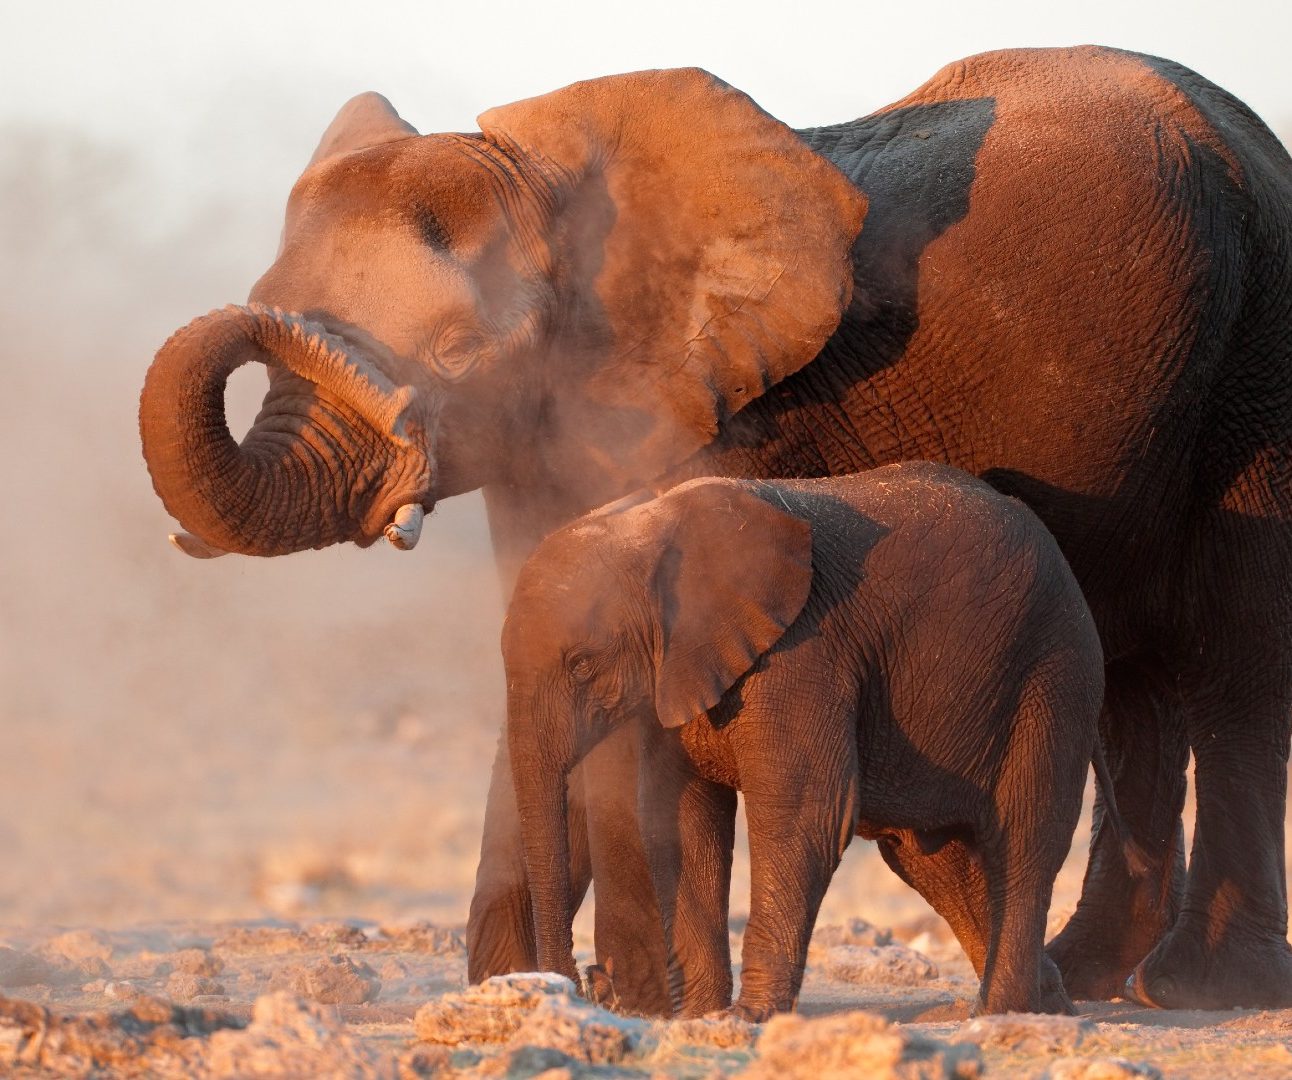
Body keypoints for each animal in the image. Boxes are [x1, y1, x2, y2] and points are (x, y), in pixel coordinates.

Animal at [498, 465, 1105, 1023]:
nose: (589, 986)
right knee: (931, 862)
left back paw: (1002, 1014)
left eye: (582, 665)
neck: (648, 525)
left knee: (1023, 839)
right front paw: (699, 1018)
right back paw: (1045, 1007)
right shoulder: (675, 677)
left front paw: (747, 1019)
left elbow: (805, 815)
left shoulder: (803, 654)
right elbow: (683, 824)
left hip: (1054, 674)